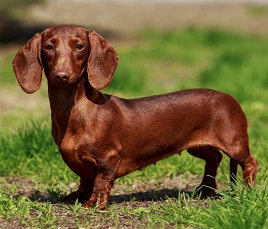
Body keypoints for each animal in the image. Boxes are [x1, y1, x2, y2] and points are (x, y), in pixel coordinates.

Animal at [12, 25, 258, 209]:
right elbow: (85, 180)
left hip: (234, 143)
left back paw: (248, 191)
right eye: (49, 47)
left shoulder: (109, 158)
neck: (75, 112)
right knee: (214, 158)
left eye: (79, 46)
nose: (61, 76)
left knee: (249, 162)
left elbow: (100, 182)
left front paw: (94, 204)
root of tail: (231, 98)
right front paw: (77, 197)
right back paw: (204, 191)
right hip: (196, 146)